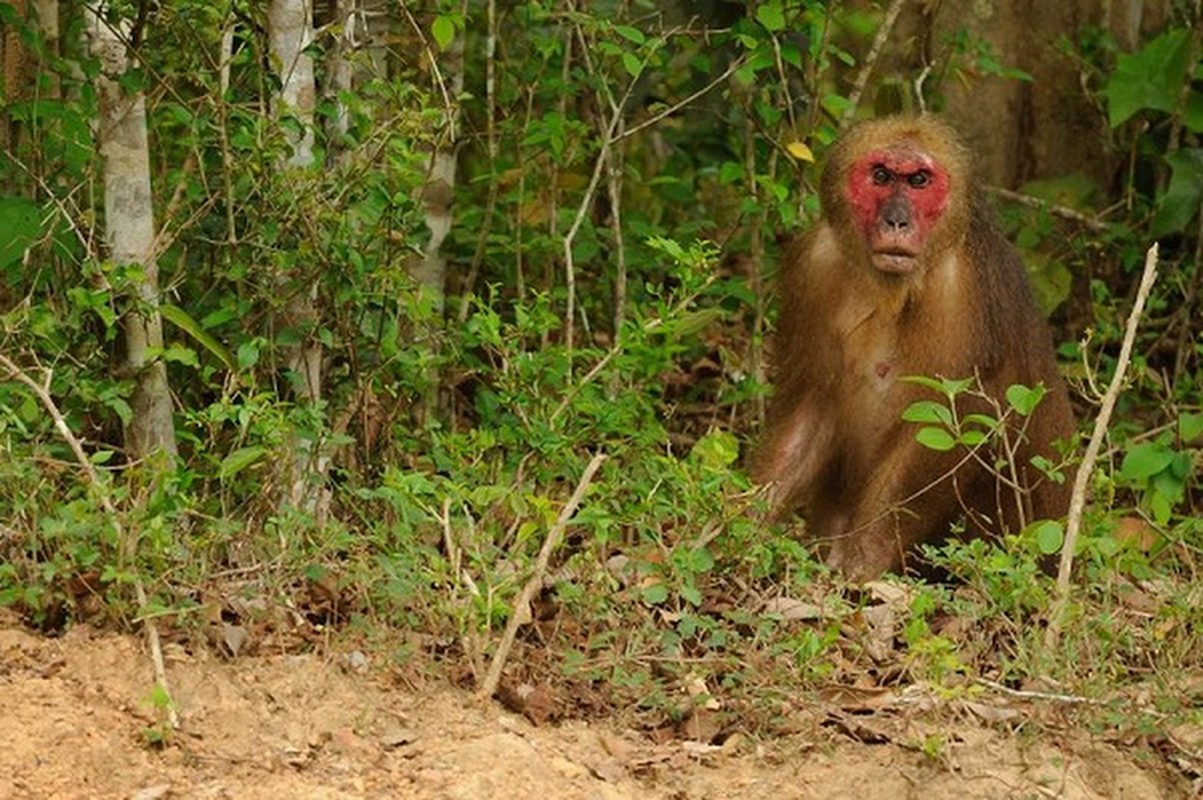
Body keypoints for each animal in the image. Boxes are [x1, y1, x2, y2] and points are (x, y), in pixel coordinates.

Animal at [755, 113, 1077, 579]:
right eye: (881, 176)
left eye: (919, 180)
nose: (896, 221)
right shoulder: (814, 264)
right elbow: (811, 407)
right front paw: (735, 522)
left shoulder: (960, 288)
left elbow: (953, 421)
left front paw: (864, 555)